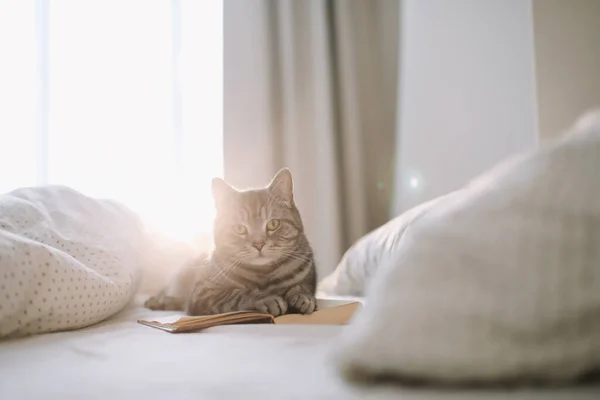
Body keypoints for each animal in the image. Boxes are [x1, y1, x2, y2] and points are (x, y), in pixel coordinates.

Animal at [144, 167, 318, 318]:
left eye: (273, 224)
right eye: (240, 229)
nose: (259, 244)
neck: (263, 274)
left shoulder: (307, 276)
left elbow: (302, 287)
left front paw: (302, 296)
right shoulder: (204, 293)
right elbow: (238, 294)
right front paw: (266, 298)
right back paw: (158, 301)